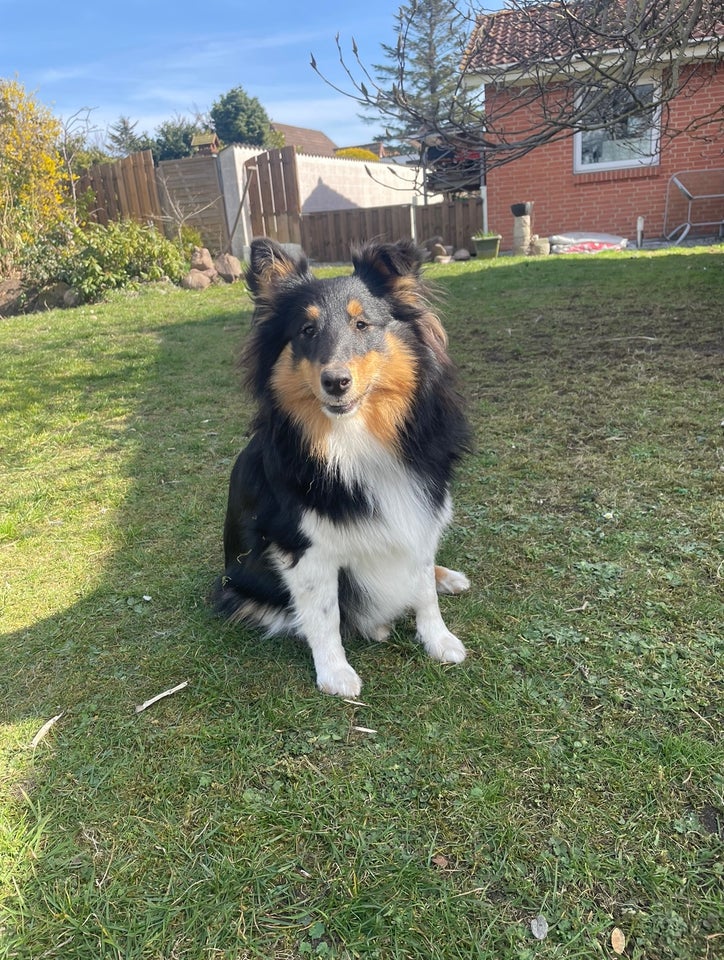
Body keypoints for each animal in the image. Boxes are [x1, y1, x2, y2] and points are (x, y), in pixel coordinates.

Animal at [215, 235, 472, 692]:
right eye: (306, 330)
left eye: (362, 325)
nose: (335, 382)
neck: (354, 438)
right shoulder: (303, 545)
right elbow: (324, 614)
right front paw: (335, 672)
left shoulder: (419, 511)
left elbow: (423, 588)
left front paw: (439, 640)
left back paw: (450, 577)